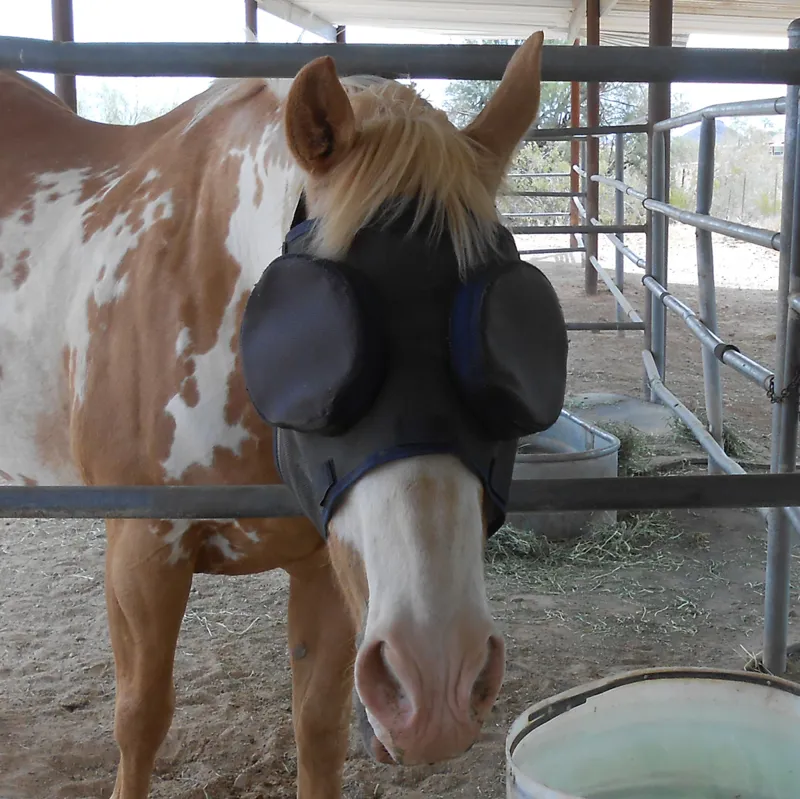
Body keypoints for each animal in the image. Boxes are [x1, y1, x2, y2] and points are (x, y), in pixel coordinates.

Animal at [0, 31, 552, 798]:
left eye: (512, 334)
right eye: (316, 335)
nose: (439, 679)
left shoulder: (327, 563)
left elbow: (317, 728)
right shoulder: (142, 550)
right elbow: (140, 720)